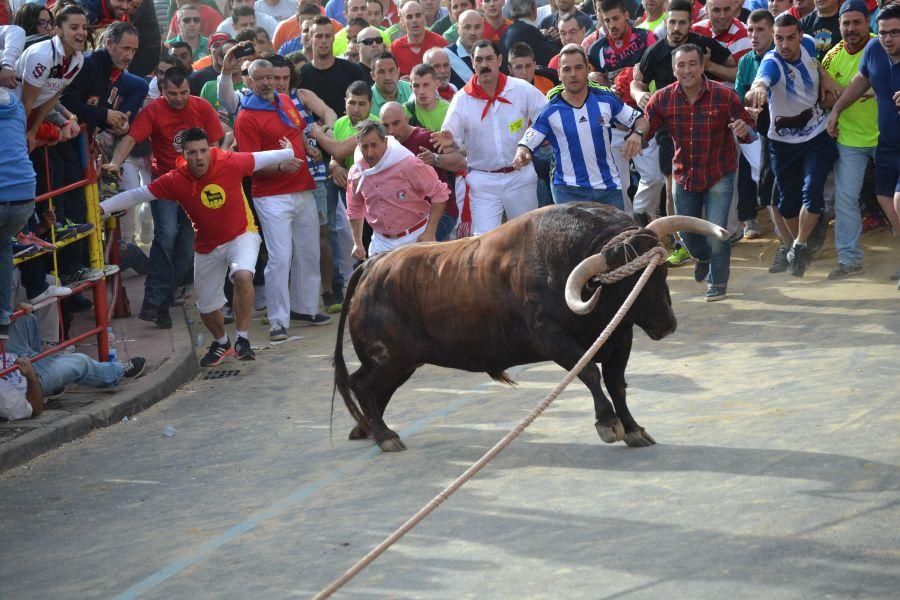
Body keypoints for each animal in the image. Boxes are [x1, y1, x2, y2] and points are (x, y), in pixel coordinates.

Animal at [334, 202, 728, 450]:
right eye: (625, 284)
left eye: (660, 271)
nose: (666, 324)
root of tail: (372, 264)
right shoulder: (553, 339)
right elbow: (590, 374)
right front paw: (607, 423)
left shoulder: (619, 338)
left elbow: (617, 384)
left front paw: (633, 428)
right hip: (388, 359)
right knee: (362, 386)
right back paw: (384, 435)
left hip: (400, 363)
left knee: (374, 390)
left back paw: (367, 429)